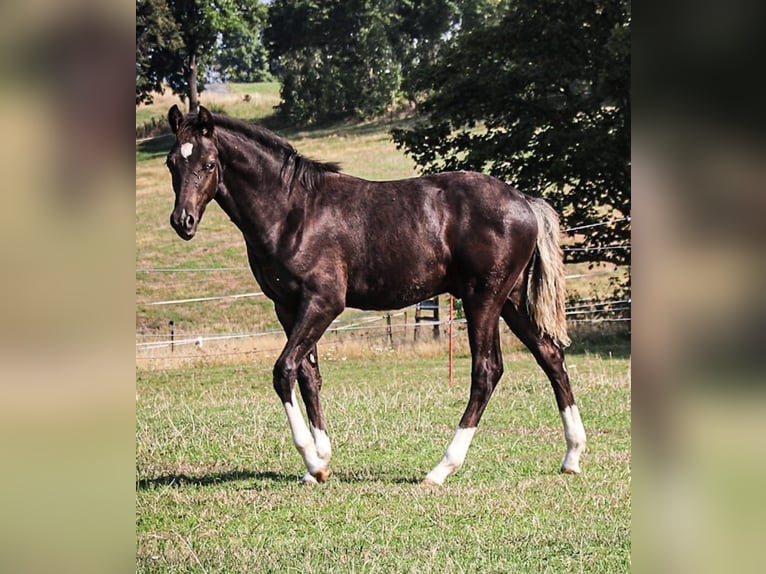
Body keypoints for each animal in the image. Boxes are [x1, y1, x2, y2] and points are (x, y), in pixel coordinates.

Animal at [166, 104, 588, 486]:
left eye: (208, 164)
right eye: (172, 164)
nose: (182, 222)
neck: (293, 212)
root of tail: (524, 201)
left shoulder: (323, 302)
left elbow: (283, 370)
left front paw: (314, 462)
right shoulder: (287, 306)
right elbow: (309, 375)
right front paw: (320, 461)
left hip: (483, 299)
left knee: (487, 370)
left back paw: (441, 469)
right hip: (511, 301)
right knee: (550, 357)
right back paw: (572, 456)